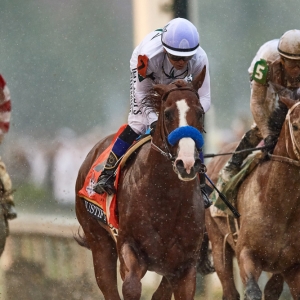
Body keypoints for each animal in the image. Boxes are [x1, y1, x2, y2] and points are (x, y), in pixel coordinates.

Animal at [75, 68, 209, 300]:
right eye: (168, 113)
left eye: (200, 112)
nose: (187, 163)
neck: (166, 198)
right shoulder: (129, 247)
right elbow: (131, 287)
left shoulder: (183, 266)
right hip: (98, 240)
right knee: (108, 285)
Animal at [205, 95, 300, 300]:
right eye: (296, 126)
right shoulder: (246, 254)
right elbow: (252, 291)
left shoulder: (292, 266)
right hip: (218, 244)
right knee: (230, 290)